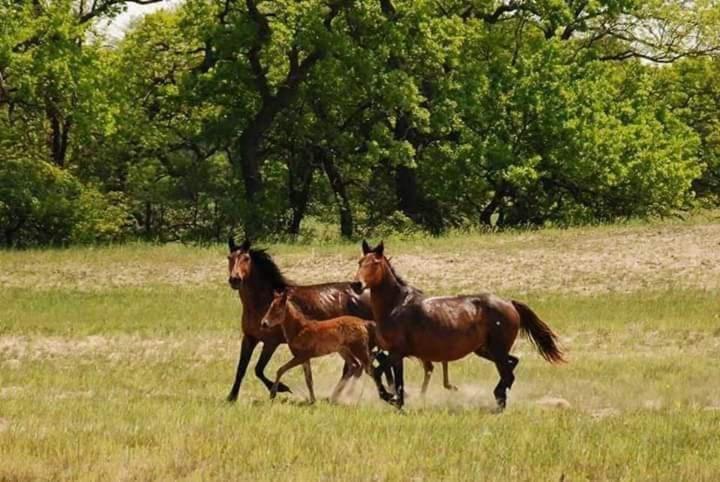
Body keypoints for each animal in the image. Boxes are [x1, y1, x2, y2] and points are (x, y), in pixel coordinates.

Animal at [358, 239, 564, 408]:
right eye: (360, 262)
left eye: (375, 263)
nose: (357, 284)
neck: (396, 305)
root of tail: (509, 303)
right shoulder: (397, 355)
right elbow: (397, 381)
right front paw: (398, 402)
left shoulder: (397, 352)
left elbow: (377, 372)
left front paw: (389, 397)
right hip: (486, 350)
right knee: (513, 363)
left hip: (497, 351)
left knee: (508, 374)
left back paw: (498, 402)